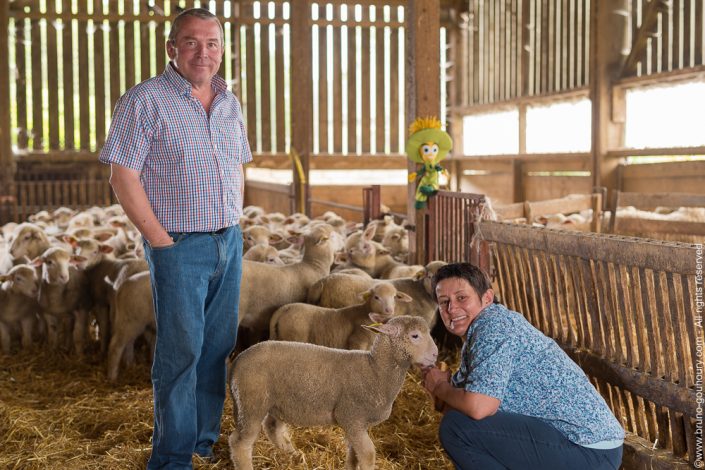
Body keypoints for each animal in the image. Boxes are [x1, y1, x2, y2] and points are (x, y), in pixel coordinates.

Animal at [227, 314, 434, 470]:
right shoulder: (351, 416)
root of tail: (237, 361)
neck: (375, 370)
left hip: (277, 403)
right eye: (415, 336)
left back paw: (293, 454)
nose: (435, 355)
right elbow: (368, 454)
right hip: (251, 403)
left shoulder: (358, 424)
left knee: (272, 428)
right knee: (240, 443)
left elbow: (354, 454)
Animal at [270, 280, 412, 350]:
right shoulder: (357, 343)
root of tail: (284, 309)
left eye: (394, 297)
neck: (364, 313)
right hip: (293, 336)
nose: (389, 310)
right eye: (376, 297)